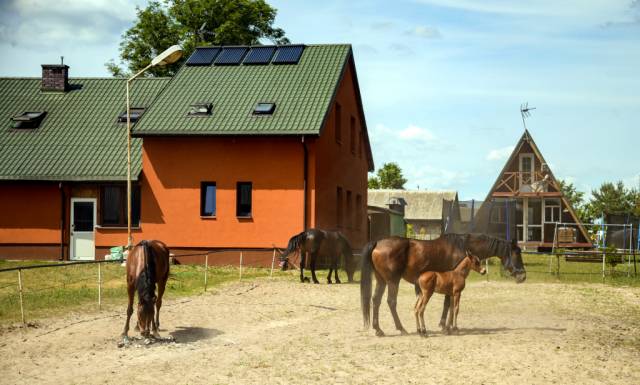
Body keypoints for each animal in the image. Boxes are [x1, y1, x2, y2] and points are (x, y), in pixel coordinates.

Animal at [360, 231, 524, 336]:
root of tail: (377, 243)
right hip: (393, 281)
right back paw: (401, 329)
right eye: (516, 253)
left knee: (376, 300)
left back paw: (378, 329)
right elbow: (449, 305)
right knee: (391, 302)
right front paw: (446, 326)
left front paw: (445, 325)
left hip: (381, 280)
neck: (462, 246)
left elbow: (448, 305)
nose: (523, 276)